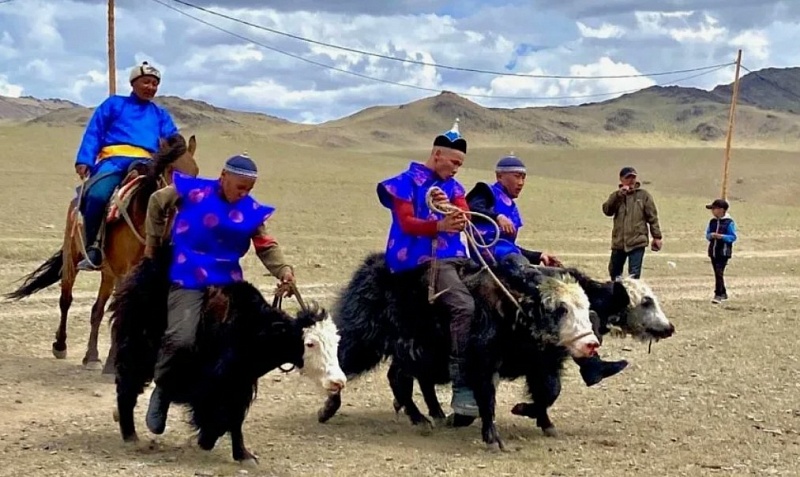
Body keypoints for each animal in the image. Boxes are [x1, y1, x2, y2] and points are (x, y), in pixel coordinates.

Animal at [4, 133, 198, 372]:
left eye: (195, 170)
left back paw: (92, 356)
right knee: (66, 299)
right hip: (73, 259)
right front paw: (114, 363)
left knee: (96, 310)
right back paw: (61, 345)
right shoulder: (126, 274)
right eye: (171, 169)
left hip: (108, 274)